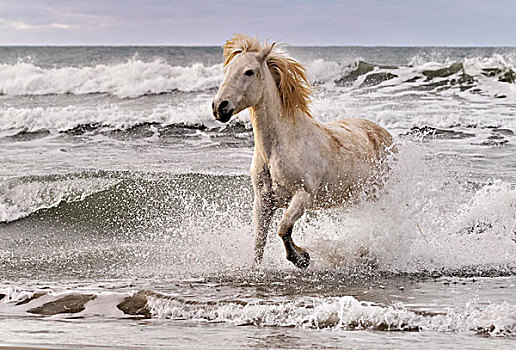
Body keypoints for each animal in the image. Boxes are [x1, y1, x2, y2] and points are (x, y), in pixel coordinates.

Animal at [212, 34, 394, 268]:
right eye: (226, 70)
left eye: (249, 71)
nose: (219, 107)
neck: (277, 148)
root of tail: (384, 134)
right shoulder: (263, 202)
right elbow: (259, 241)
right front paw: (260, 267)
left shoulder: (302, 196)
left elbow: (283, 228)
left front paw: (301, 258)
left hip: (379, 193)